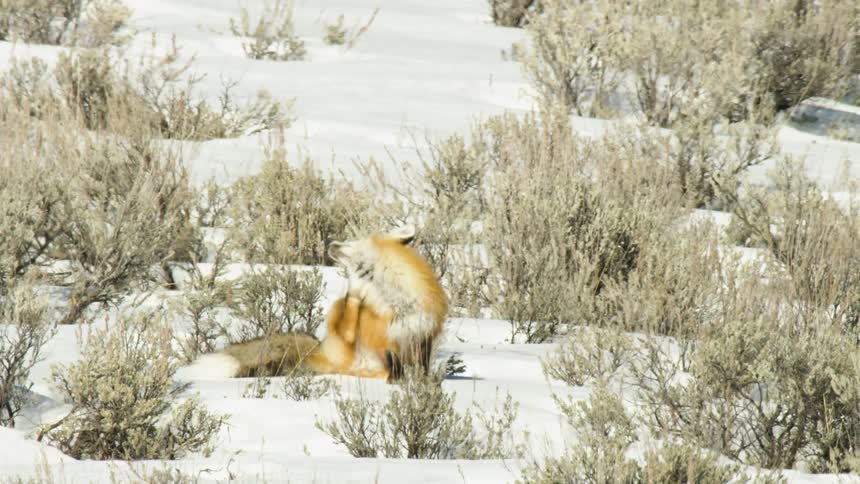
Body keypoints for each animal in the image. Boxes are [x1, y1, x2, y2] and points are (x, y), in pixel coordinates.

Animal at [181, 226, 448, 382]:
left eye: (352, 242)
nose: (332, 244)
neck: (397, 301)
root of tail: (323, 348)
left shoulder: (422, 336)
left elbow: (421, 369)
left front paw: (421, 385)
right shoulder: (388, 342)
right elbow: (394, 366)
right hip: (342, 323)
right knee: (348, 321)